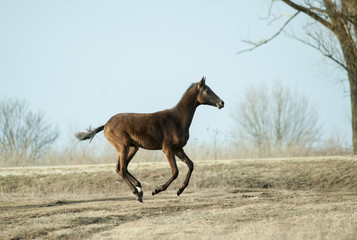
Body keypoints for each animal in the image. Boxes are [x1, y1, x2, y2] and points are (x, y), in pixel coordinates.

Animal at [75, 77, 222, 202]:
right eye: (207, 90)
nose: (222, 103)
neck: (176, 120)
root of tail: (105, 125)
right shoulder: (167, 149)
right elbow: (175, 171)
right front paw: (157, 190)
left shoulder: (178, 148)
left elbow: (190, 165)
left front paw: (180, 190)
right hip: (123, 147)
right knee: (121, 169)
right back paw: (137, 194)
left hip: (133, 147)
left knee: (121, 167)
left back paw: (139, 188)